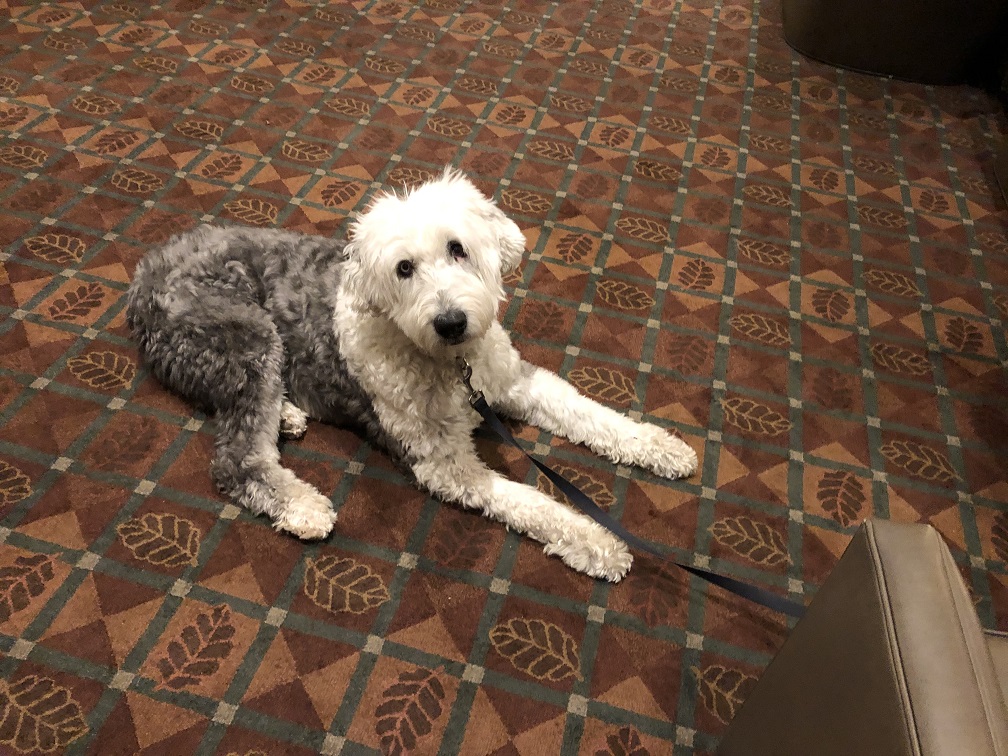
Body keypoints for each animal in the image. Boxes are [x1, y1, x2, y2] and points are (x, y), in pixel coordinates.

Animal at [123, 168, 693, 580]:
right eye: (404, 268)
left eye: (458, 248)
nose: (451, 321)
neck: (451, 367)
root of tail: (144, 274)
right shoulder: (444, 464)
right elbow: (531, 502)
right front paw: (598, 542)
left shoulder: (512, 381)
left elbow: (589, 412)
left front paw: (662, 448)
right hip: (247, 337)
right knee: (237, 459)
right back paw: (301, 505)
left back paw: (286, 414)